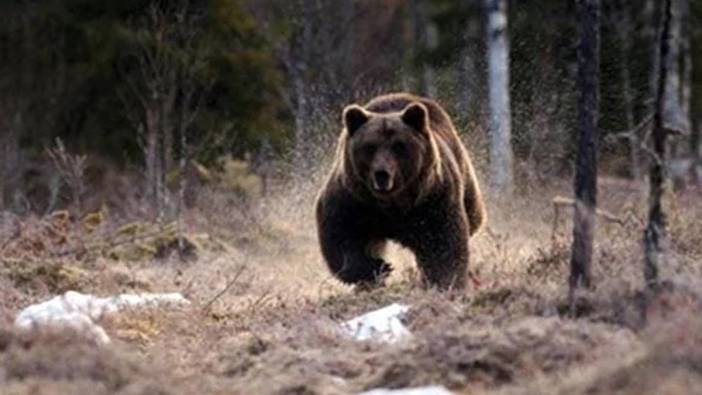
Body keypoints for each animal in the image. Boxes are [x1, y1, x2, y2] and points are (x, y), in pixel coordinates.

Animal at [316, 93, 486, 290]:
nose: (382, 173)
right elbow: (339, 231)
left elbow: (444, 239)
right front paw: (378, 268)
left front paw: (445, 281)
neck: (392, 203)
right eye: (370, 146)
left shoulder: (432, 198)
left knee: (473, 216)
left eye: (399, 146)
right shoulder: (354, 198)